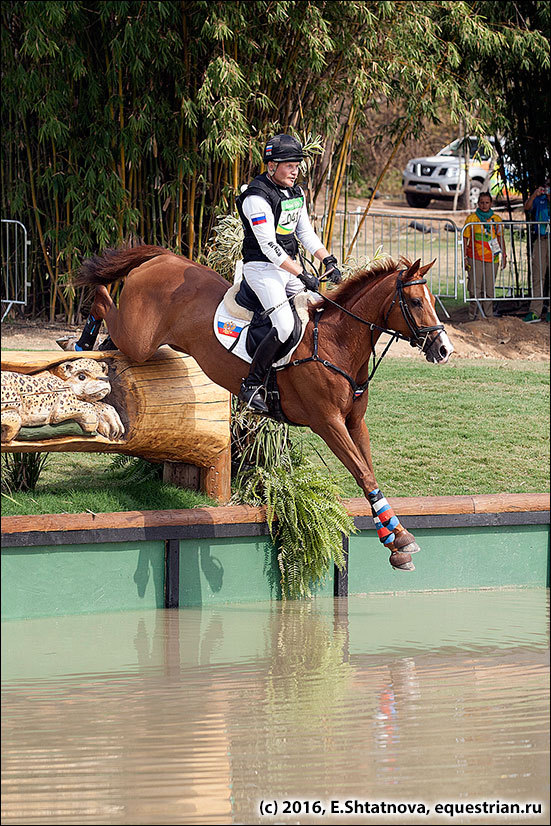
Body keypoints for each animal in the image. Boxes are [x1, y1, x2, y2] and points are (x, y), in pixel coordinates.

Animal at [76, 245, 452, 568]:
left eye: (432, 301)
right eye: (415, 302)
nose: (444, 349)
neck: (337, 343)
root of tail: (164, 259)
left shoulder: (354, 423)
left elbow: (368, 473)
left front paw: (395, 539)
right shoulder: (327, 422)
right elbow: (362, 472)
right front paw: (398, 540)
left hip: (141, 342)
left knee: (111, 334)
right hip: (139, 339)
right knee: (102, 300)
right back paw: (81, 340)